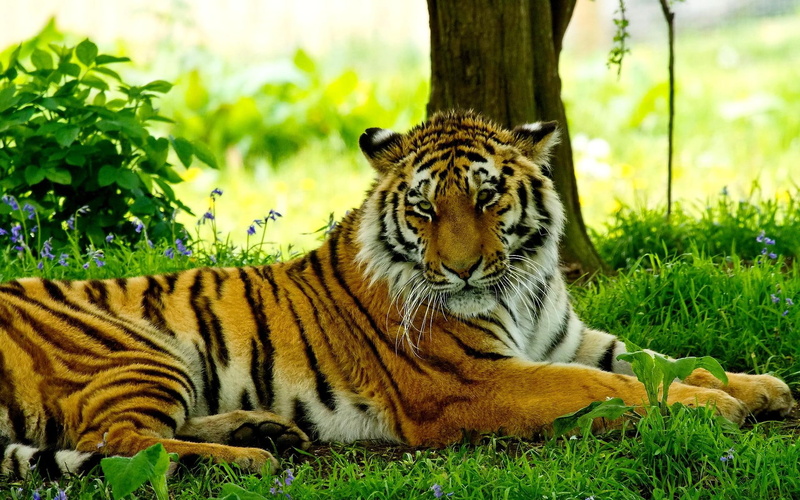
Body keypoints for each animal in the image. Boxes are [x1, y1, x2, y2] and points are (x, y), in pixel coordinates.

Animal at [0, 110, 794, 480]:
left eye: (486, 197)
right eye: (423, 209)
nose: (465, 270)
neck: (524, 285)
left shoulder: (574, 340)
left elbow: (664, 360)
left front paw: (760, 388)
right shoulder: (477, 381)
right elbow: (617, 388)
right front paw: (716, 410)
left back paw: (264, 432)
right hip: (138, 351)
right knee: (115, 444)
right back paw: (253, 461)